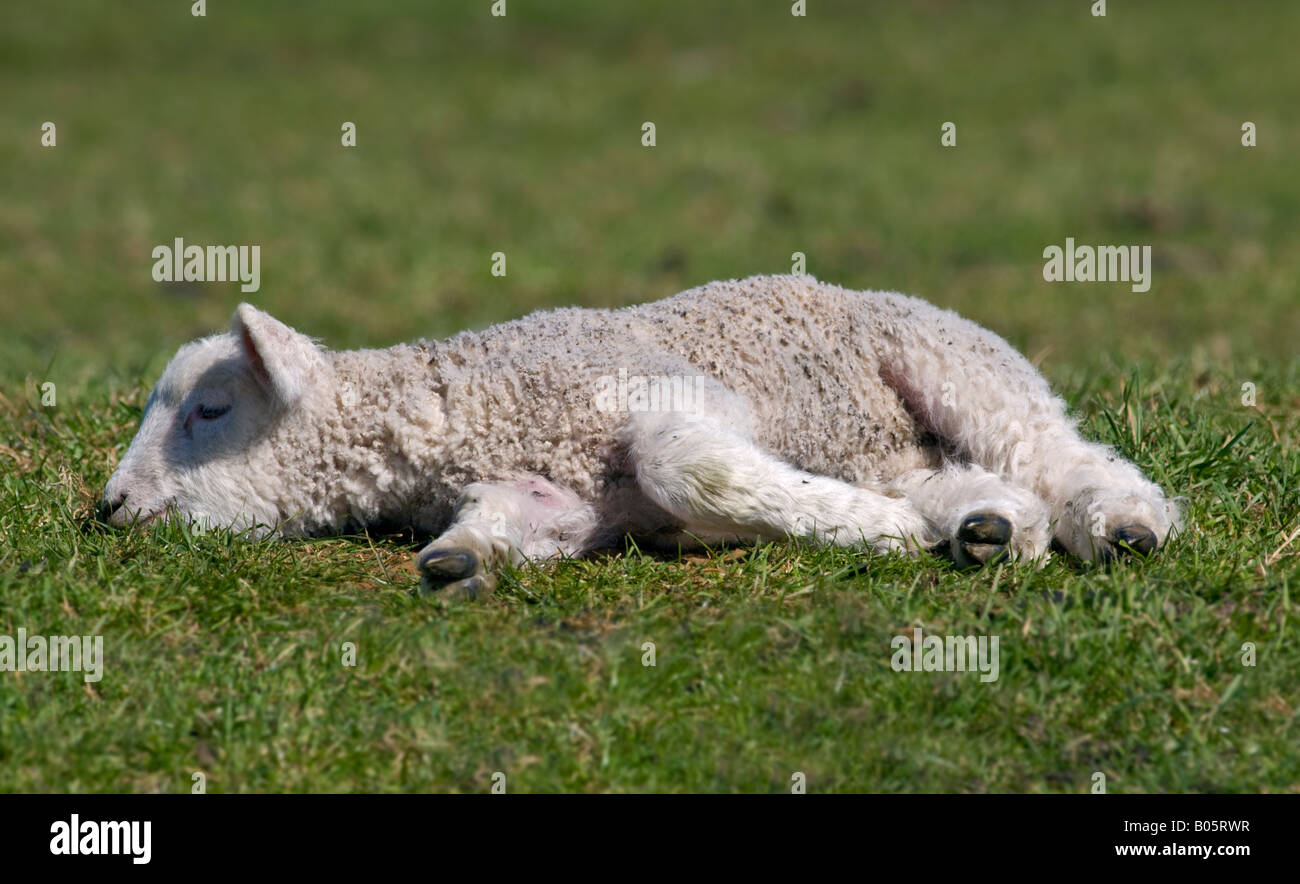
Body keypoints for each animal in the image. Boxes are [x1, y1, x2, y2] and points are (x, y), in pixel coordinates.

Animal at [99, 274, 1181, 599]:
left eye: (207, 410)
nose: (107, 508)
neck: (464, 408)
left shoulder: (677, 397)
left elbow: (687, 465)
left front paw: (871, 533)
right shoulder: (557, 491)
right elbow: (499, 524)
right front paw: (458, 557)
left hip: (950, 359)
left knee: (1056, 452)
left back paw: (1121, 523)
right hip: (889, 443)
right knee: (972, 480)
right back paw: (987, 528)